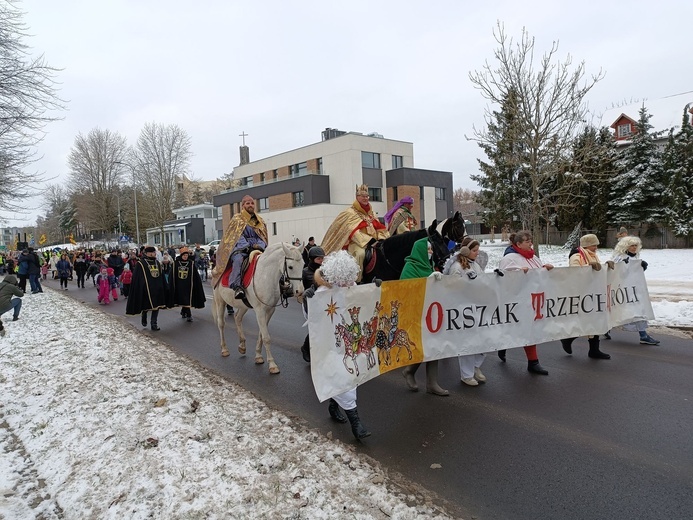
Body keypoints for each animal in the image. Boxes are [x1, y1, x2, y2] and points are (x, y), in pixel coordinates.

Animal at [209, 243, 304, 374]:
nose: (300, 291)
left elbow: (261, 335)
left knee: (237, 318)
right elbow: (266, 337)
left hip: (243, 305)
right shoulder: (260, 311)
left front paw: (258, 356)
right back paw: (224, 349)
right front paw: (272, 365)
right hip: (220, 302)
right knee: (221, 324)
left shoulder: (269, 310)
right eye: (290, 267)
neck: (266, 275)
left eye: (303, 265)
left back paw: (242, 346)